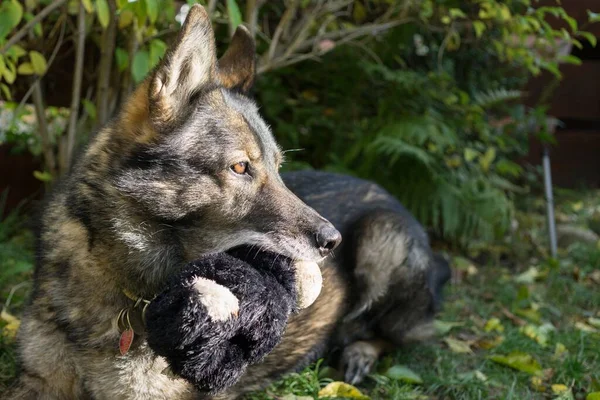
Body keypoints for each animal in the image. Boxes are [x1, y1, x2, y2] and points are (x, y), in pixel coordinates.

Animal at [9, 4, 448, 398]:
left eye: (278, 167)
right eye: (240, 167)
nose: (332, 241)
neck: (125, 280)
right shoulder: (35, 380)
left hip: (382, 237)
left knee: (402, 334)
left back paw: (359, 352)